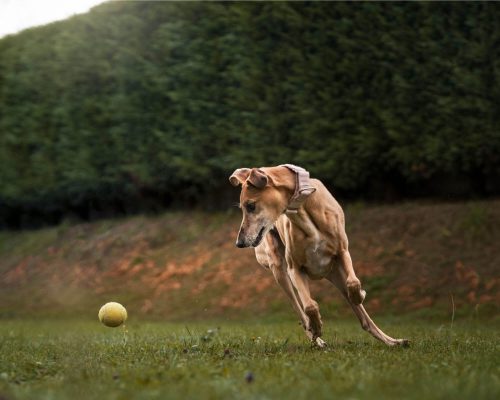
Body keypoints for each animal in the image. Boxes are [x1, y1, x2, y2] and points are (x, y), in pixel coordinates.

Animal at [229, 164, 408, 348]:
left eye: (251, 206)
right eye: (243, 207)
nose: (239, 243)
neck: (304, 210)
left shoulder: (342, 252)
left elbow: (353, 282)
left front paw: (361, 294)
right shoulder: (295, 269)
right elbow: (310, 306)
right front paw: (316, 327)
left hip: (336, 273)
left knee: (364, 318)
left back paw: (392, 341)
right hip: (280, 270)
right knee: (300, 310)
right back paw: (316, 337)